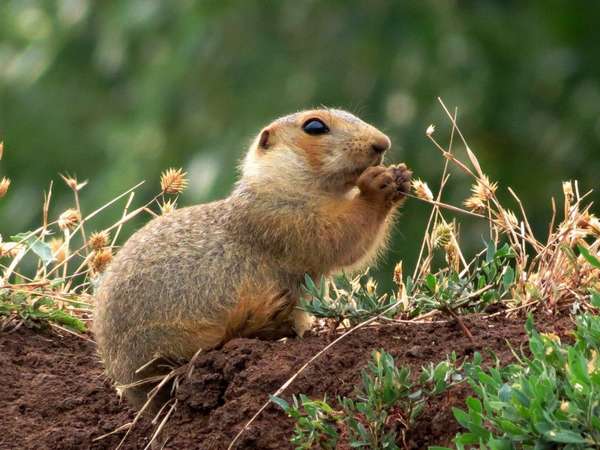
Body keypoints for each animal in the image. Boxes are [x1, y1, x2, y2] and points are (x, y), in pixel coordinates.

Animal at [94, 108, 412, 408]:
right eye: (314, 126)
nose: (383, 143)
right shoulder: (281, 217)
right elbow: (333, 234)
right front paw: (377, 184)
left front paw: (401, 175)